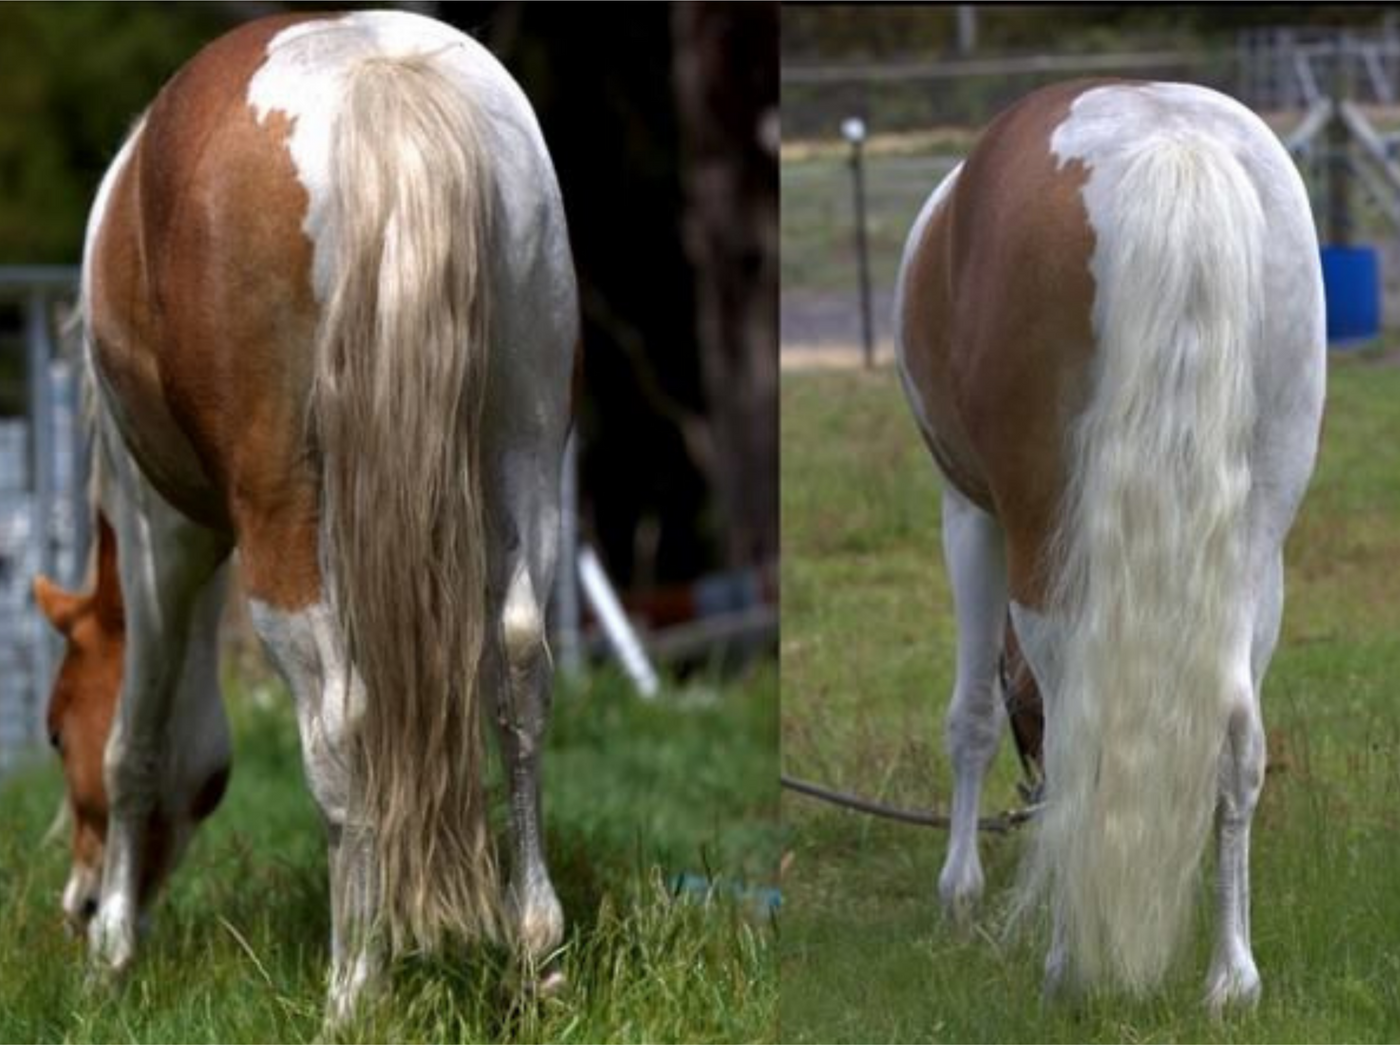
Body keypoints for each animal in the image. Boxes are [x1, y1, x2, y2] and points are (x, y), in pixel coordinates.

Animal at [34, 10, 579, 1019]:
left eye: (54, 729)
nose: (76, 903)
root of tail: (379, 75)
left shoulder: (155, 531)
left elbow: (135, 741)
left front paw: (113, 952)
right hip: (524, 458)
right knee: (520, 674)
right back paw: (536, 955)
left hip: (280, 525)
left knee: (342, 722)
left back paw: (353, 988)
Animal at [896, 83, 1321, 1008]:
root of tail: (1168, 139)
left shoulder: (968, 515)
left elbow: (971, 715)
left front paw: (958, 893)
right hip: (1256, 552)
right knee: (1236, 740)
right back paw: (1231, 977)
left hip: (1034, 542)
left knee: (1080, 739)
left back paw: (1067, 966)